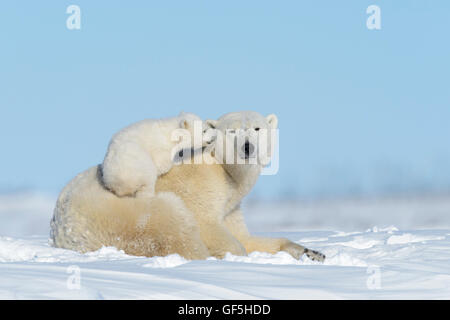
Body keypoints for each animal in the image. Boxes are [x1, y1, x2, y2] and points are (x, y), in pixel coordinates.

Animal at [51, 111, 326, 262]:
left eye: (258, 128)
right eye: (232, 131)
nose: (248, 147)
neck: (224, 170)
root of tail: (60, 231)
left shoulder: (232, 206)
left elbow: (244, 236)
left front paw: (310, 251)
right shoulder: (201, 185)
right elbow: (208, 225)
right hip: (122, 215)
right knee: (173, 225)